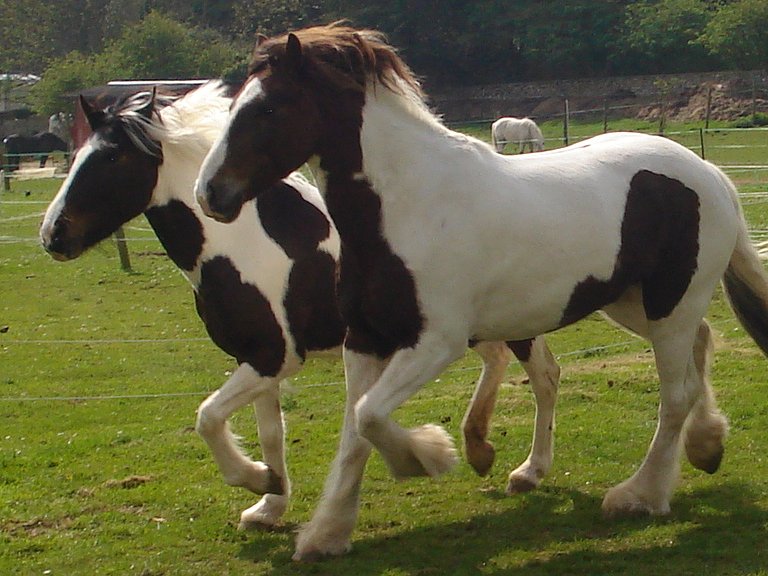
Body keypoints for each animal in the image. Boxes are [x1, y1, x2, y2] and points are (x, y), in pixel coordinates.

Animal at [39, 81, 562, 530]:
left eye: (111, 158)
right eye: (76, 158)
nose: (53, 235)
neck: (242, 245)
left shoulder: (275, 357)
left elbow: (208, 417)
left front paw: (254, 480)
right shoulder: (255, 360)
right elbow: (270, 433)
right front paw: (269, 503)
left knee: (543, 376)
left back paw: (527, 471)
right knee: (499, 361)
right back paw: (479, 448)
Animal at [195, 24, 768, 560]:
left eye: (269, 108)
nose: (210, 194)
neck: (407, 207)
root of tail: (708, 173)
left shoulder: (436, 342)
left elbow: (369, 416)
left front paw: (428, 457)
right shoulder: (364, 339)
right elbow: (353, 434)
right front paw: (326, 534)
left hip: (671, 304)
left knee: (676, 394)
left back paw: (640, 496)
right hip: (632, 304)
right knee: (702, 345)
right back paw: (705, 447)